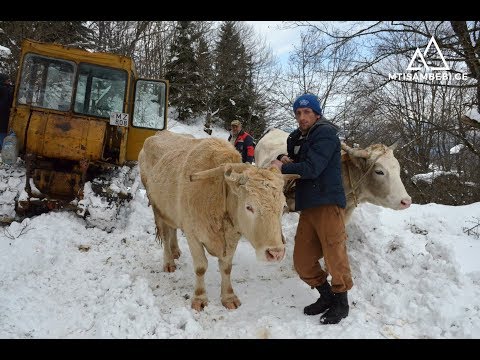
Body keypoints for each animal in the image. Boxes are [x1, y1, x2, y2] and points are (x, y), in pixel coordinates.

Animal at [138, 131, 296, 310]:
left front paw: (228, 297)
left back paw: (176, 250)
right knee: (165, 235)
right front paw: (200, 298)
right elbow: (201, 267)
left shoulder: (232, 237)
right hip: (158, 209)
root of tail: (159, 133)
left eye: (283, 206)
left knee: (173, 229)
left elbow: (226, 268)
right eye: (249, 207)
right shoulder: (193, 235)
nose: (276, 253)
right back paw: (169, 261)